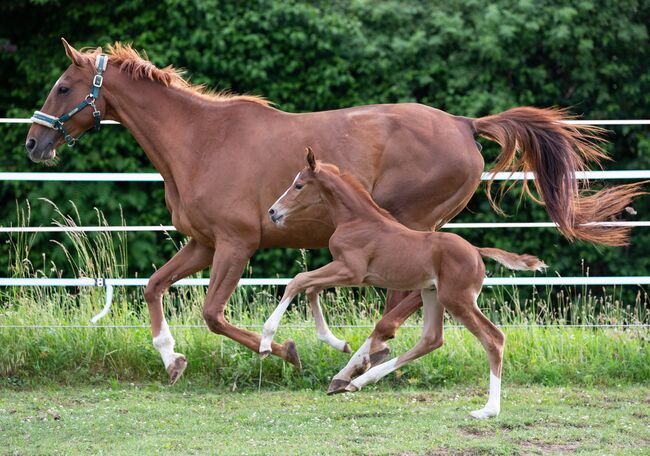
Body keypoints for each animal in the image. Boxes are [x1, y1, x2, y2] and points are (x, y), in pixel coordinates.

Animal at [260, 148, 540, 418]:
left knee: (493, 339)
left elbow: (298, 281)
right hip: (432, 293)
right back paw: (358, 381)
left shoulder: (351, 271)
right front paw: (338, 343)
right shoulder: (345, 271)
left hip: (457, 299)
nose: (272, 211)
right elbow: (310, 288)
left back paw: (489, 410)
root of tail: (476, 250)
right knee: (432, 339)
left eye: (298, 185)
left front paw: (266, 342)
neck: (357, 220)